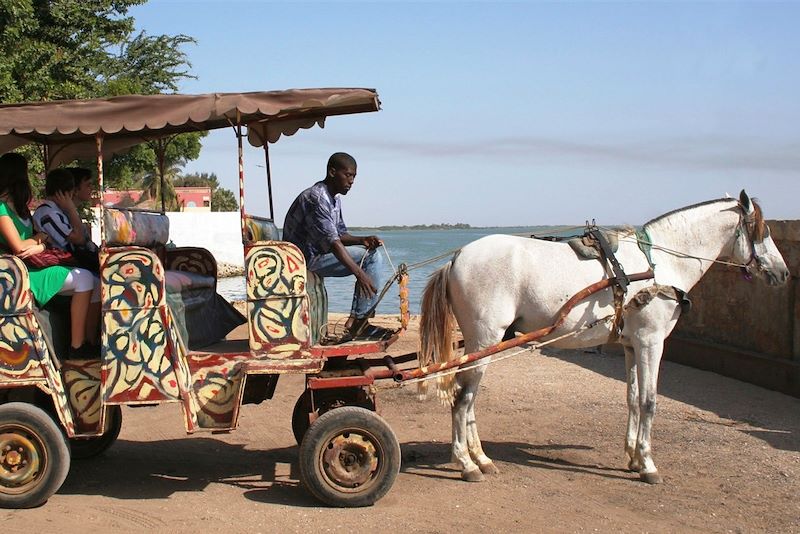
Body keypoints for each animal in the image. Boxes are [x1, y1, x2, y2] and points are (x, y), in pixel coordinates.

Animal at [418, 192, 788, 486]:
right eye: (763, 231)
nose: (783, 272)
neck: (659, 264)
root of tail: (457, 258)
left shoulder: (631, 344)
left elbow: (633, 398)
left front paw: (633, 457)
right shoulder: (651, 341)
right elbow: (650, 401)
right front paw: (648, 464)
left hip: (487, 343)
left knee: (469, 398)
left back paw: (481, 458)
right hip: (484, 339)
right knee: (462, 398)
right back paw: (466, 464)